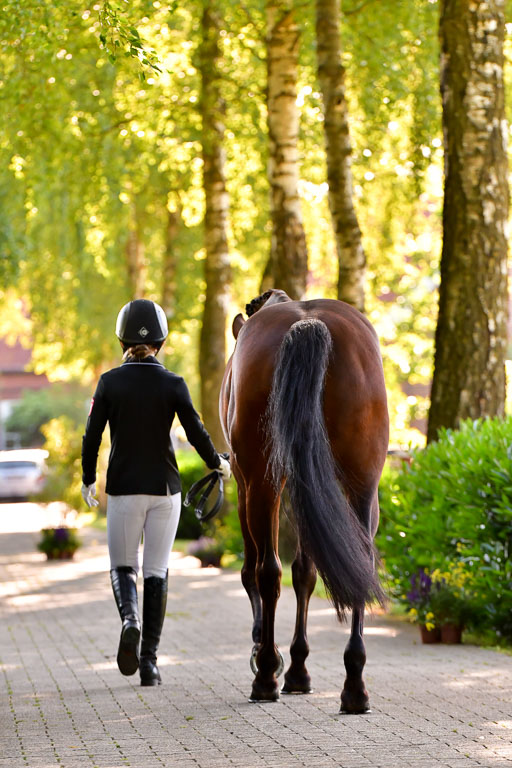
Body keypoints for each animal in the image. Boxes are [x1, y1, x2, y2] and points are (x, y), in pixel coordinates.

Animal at [219, 289, 389, 713]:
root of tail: (308, 322)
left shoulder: (247, 485)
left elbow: (256, 571)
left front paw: (275, 659)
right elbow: (307, 573)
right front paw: (298, 670)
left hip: (261, 484)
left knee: (267, 571)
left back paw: (265, 675)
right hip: (362, 486)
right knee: (359, 563)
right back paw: (354, 685)